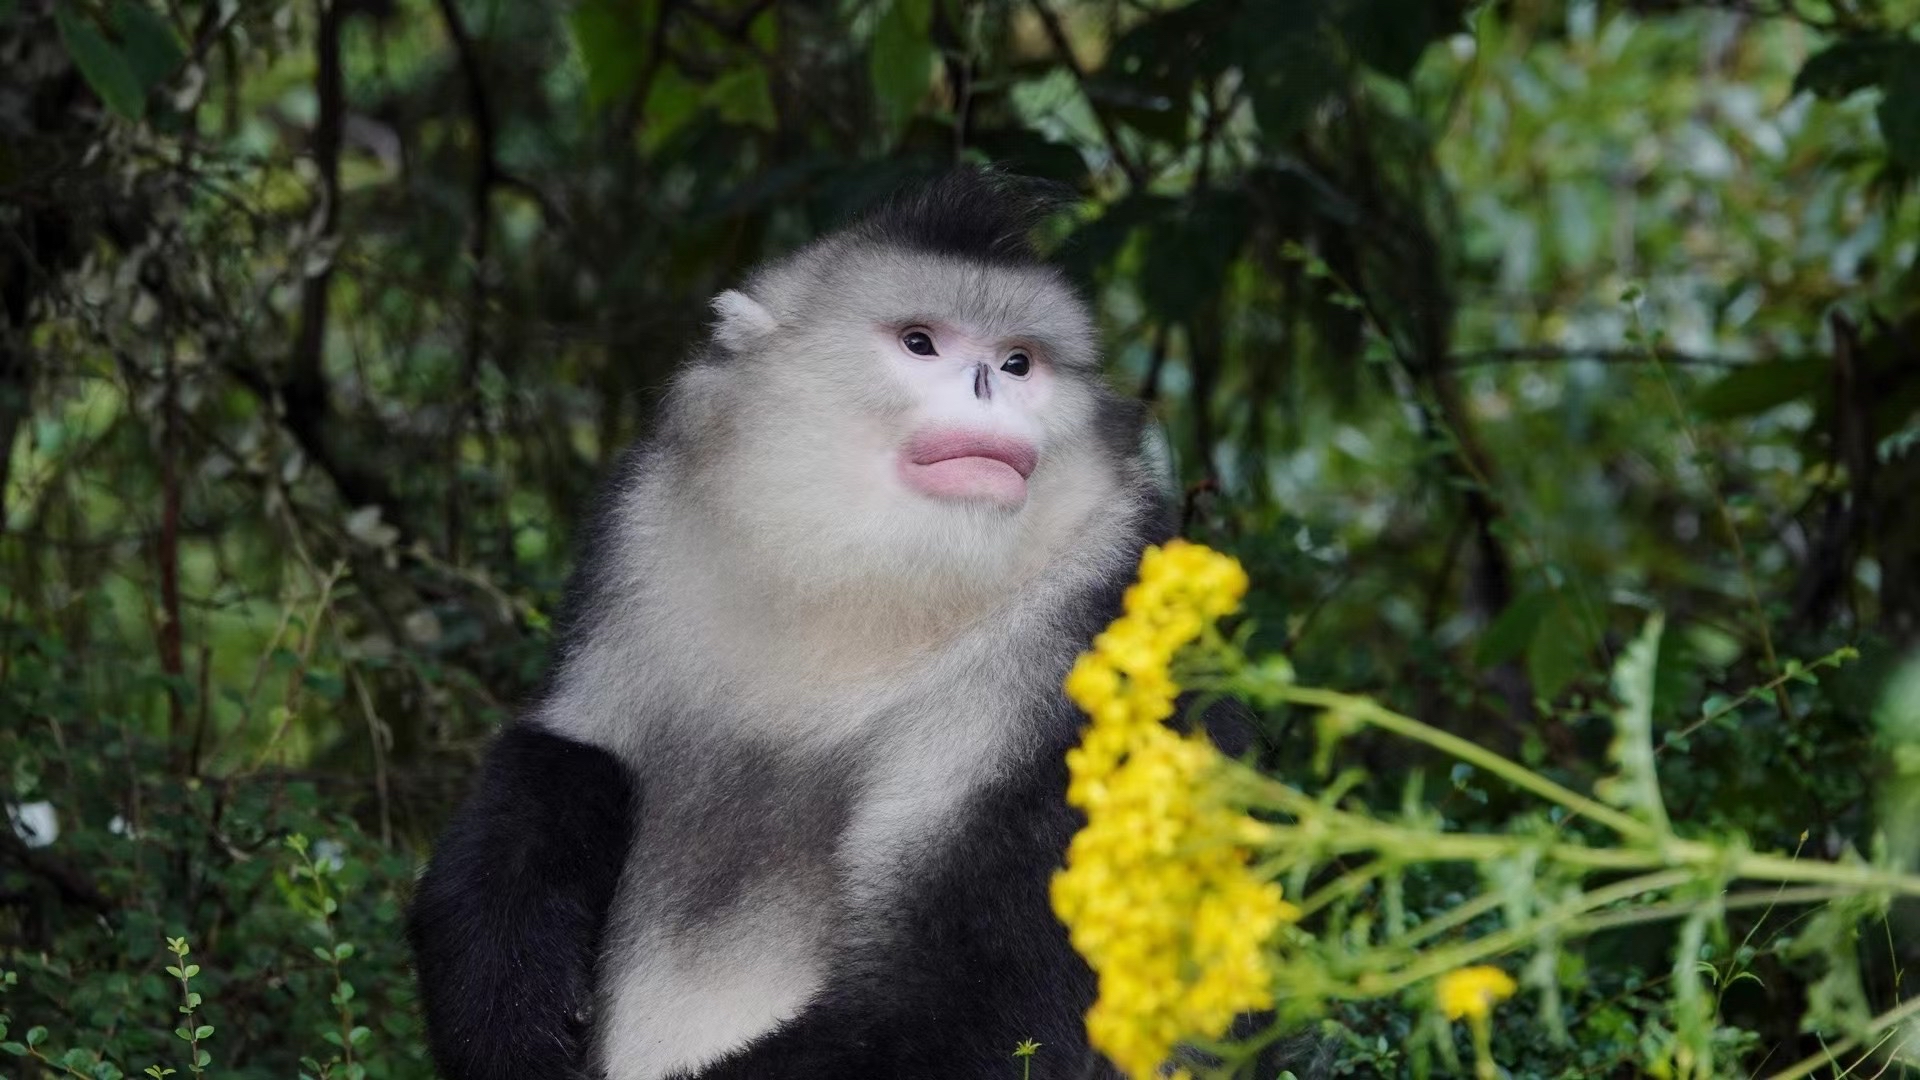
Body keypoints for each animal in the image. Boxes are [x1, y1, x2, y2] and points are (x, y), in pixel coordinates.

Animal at [406, 171, 1289, 1080]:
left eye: (1019, 362)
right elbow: (563, 750)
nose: (988, 383)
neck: (867, 601)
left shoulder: (1109, 620)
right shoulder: (646, 528)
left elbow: (969, 1003)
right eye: (921, 344)